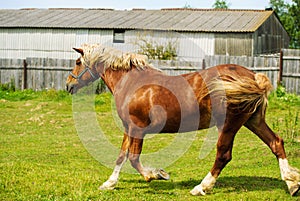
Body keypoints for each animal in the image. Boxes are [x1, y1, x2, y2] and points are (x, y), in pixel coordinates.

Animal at [66, 43, 300, 196]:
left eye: (78, 62)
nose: (69, 85)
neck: (132, 82)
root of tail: (253, 77)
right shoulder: (128, 128)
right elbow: (121, 156)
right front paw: (109, 184)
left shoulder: (138, 128)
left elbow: (133, 158)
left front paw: (157, 175)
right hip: (253, 120)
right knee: (276, 142)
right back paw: (292, 184)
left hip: (229, 125)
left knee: (223, 155)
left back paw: (201, 187)